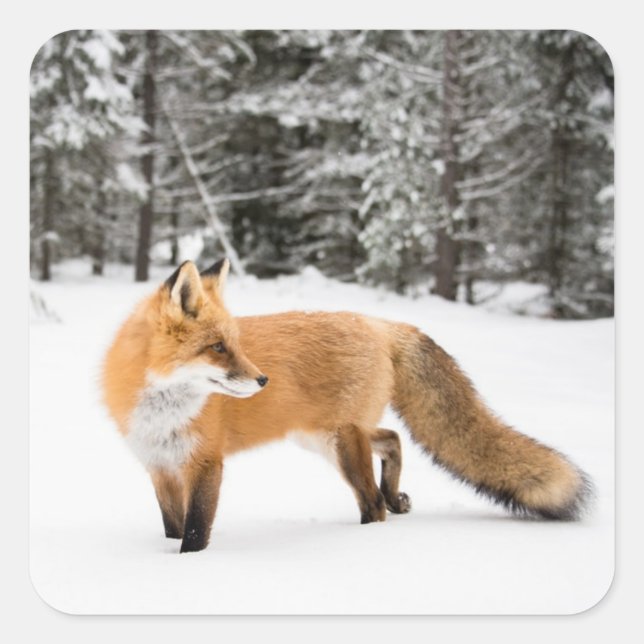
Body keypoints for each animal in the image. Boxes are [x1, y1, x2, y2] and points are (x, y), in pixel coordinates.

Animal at [102, 258, 593, 553]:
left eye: (235, 345)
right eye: (218, 348)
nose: (262, 380)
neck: (162, 411)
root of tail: (379, 324)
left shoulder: (205, 463)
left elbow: (195, 531)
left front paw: (188, 567)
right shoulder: (160, 467)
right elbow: (172, 525)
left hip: (340, 443)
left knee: (372, 501)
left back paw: (364, 535)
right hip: (323, 436)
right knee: (392, 439)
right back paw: (396, 497)